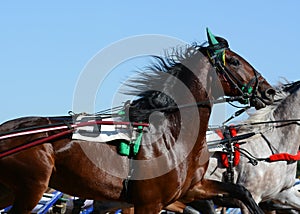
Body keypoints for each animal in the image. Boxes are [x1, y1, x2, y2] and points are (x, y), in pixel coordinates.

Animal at [0, 28, 274, 214]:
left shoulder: (190, 189)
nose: (268, 91)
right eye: (235, 61)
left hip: (12, 190)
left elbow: (240, 192)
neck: (169, 133)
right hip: (33, 186)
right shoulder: (149, 203)